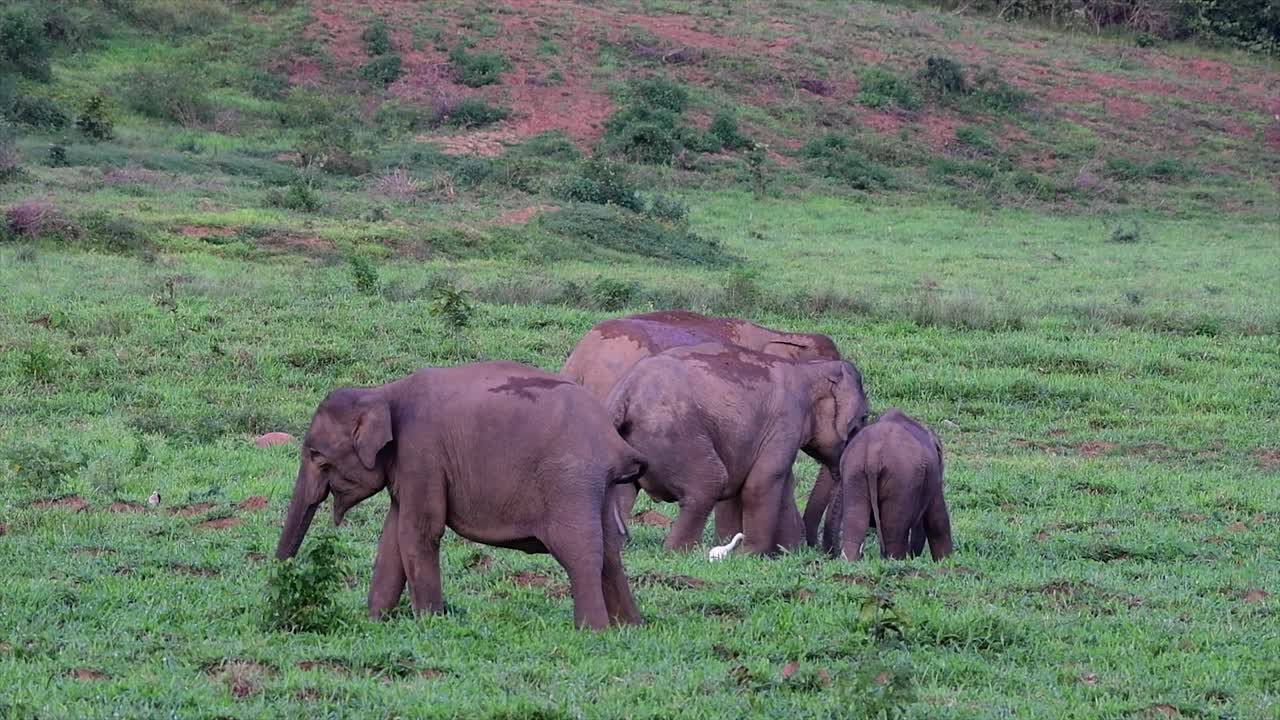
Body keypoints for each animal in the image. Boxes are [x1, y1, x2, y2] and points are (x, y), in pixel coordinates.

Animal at [275, 361, 647, 630]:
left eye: (315, 456)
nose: (277, 583)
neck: (383, 392)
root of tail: (614, 441)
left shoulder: (421, 453)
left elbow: (418, 532)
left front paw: (429, 623)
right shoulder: (408, 466)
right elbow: (392, 537)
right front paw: (375, 621)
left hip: (569, 480)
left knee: (579, 550)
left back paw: (592, 630)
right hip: (597, 487)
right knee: (610, 551)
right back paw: (629, 627)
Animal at [606, 343, 868, 555]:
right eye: (861, 421)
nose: (825, 552)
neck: (812, 370)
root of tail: (624, 394)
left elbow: (778, 484)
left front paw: (787, 552)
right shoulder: (786, 420)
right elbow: (762, 482)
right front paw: (749, 554)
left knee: (623, 493)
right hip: (675, 435)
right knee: (709, 484)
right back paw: (678, 553)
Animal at [821, 408, 954, 561]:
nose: (913, 556)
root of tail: (873, 455)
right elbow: (938, 519)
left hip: (855, 471)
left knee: (857, 521)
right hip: (902, 480)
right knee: (894, 535)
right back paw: (896, 560)